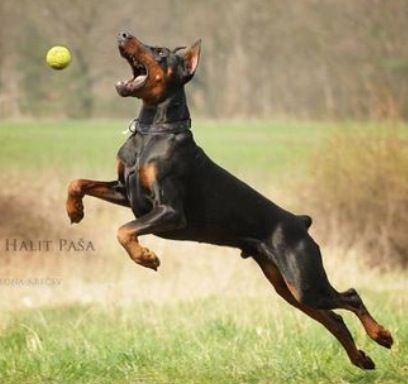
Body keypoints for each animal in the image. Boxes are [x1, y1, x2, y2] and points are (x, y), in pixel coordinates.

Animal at [66, 32, 392, 368]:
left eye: (160, 52)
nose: (123, 34)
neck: (151, 132)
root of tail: (300, 222)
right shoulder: (125, 191)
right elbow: (77, 183)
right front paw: (74, 211)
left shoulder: (170, 211)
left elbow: (123, 230)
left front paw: (146, 257)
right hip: (288, 288)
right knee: (334, 319)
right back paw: (361, 359)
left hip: (305, 280)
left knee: (350, 296)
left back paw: (382, 335)